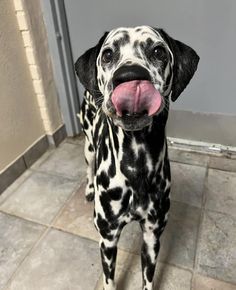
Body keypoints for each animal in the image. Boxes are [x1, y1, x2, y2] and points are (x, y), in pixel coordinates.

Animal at [74, 25, 199, 290]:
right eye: (108, 54)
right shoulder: (108, 240)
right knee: (88, 166)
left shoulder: (152, 237)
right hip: (88, 147)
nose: (130, 75)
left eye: (158, 51)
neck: (135, 165)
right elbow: (109, 280)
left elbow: (148, 278)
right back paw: (89, 189)